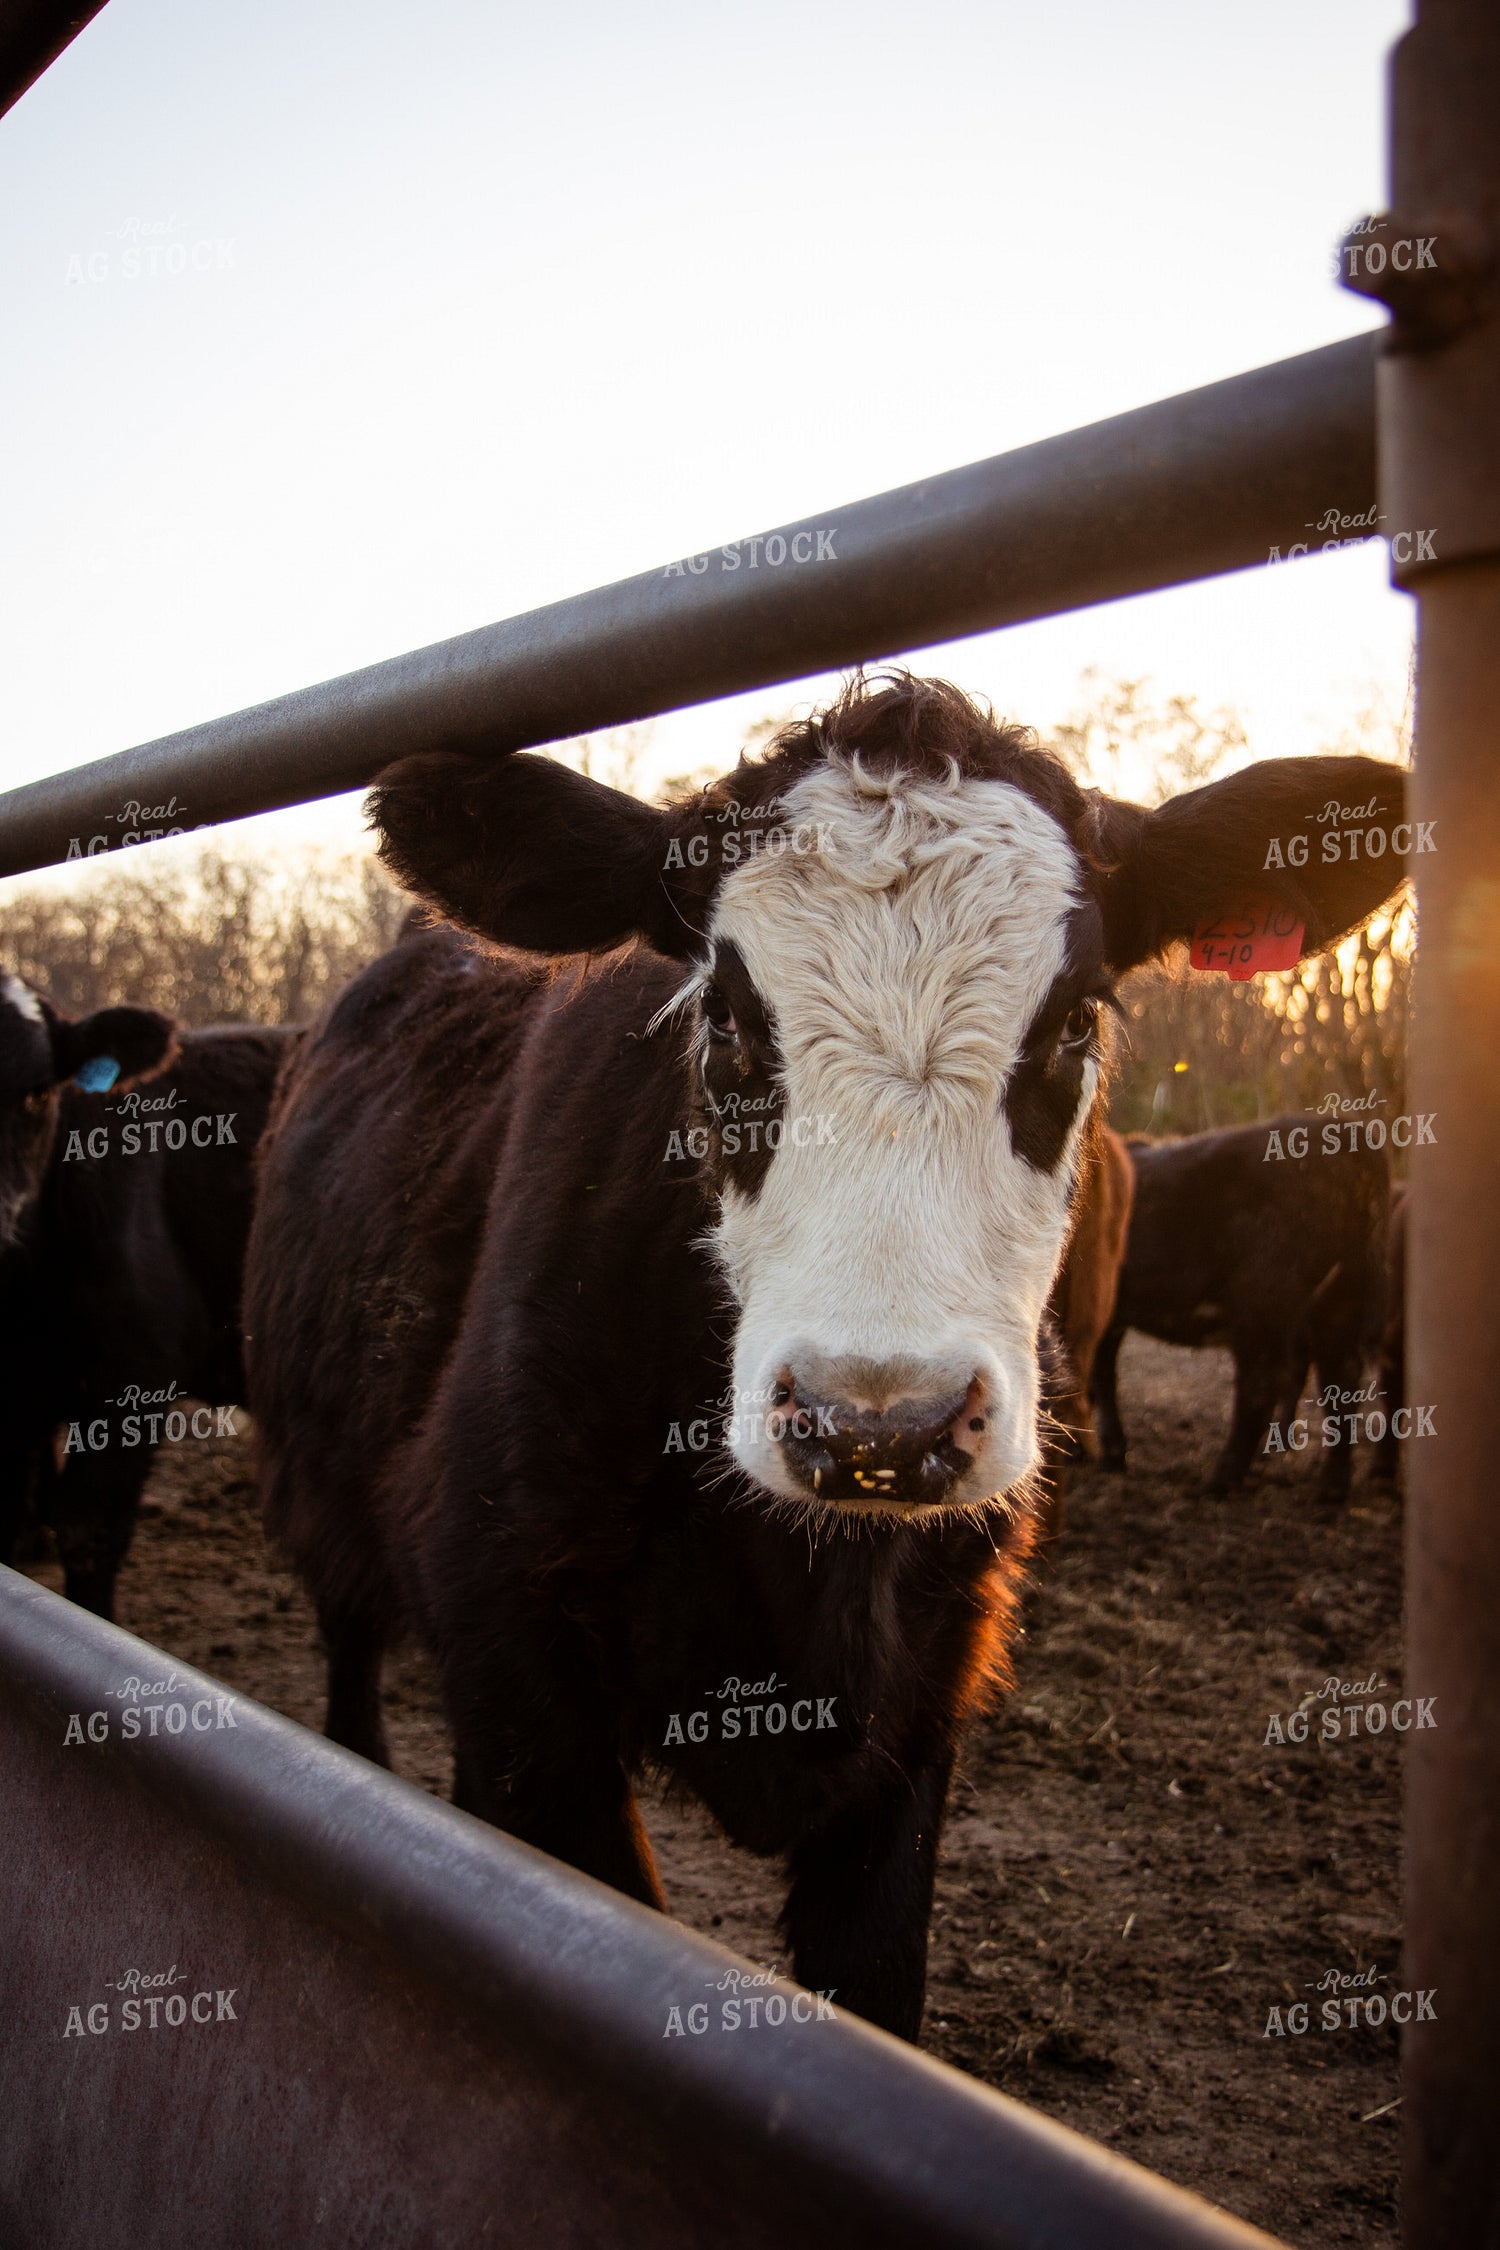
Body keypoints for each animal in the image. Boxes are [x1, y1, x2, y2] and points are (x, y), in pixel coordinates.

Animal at [1089, 1118, 1390, 1503]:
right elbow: (1101, 1374)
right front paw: (1111, 1452)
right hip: (1336, 1308)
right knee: (1339, 1383)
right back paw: (1331, 1487)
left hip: (1261, 1306)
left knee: (1261, 1386)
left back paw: (1220, 1480)